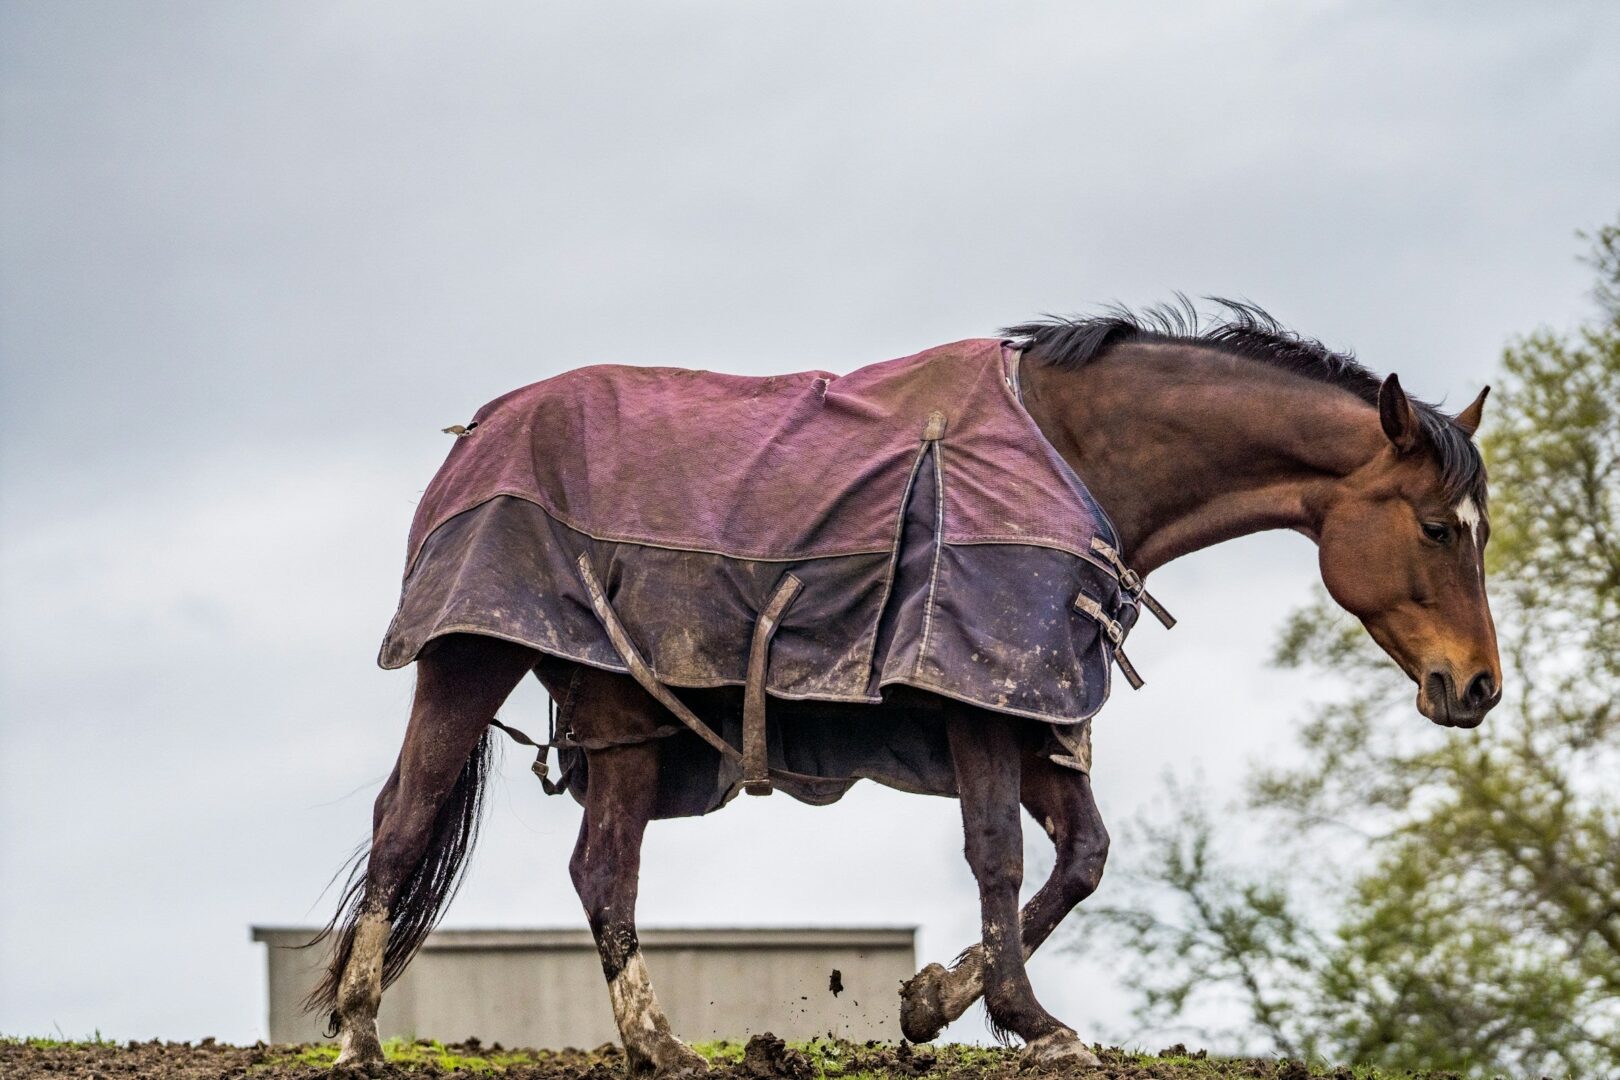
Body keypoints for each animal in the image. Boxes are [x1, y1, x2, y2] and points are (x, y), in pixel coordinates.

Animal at [308, 301, 1500, 1075]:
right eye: (1438, 529)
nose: (1480, 687)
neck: (1075, 454)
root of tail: (480, 430)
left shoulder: (1033, 702)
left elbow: (1083, 857)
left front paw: (935, 1002)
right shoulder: (977, 693)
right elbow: (1000, 853)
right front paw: (1027, 1022)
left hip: (620, 711)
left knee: (601, 869)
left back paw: (658, 1046)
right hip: (470, 656)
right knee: (408, 815)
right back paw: (362, 1034)